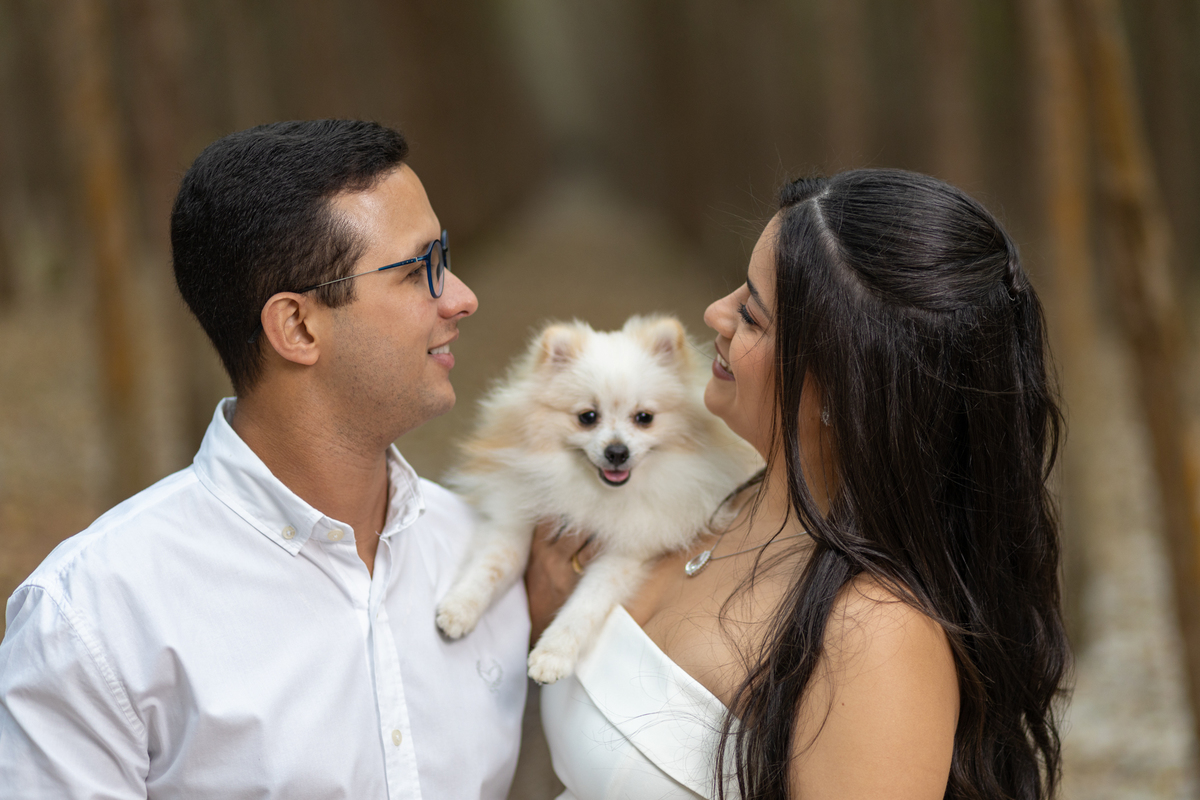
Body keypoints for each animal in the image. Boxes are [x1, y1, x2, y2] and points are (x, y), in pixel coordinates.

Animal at [434, 314, 761, 684]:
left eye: (644, 418)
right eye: (587, 417)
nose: (617, 451)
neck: (594, 493)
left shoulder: (627, 552)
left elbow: (586, 603)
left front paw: (552, 655)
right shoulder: (519, 514)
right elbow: (492, 564)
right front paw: (460, 608)